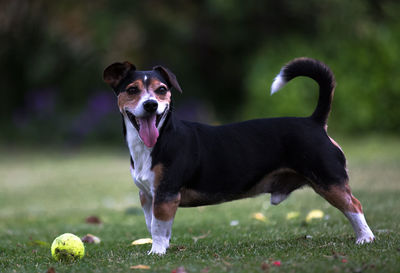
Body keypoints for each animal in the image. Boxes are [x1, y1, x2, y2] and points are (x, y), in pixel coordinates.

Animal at [102, 56, 376, 254]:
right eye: (132, 90)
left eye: (161, 90)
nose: (150, 105)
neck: (155, 141)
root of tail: (315, 122)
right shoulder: (148, 196)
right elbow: (153, 225)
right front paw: (161, 247)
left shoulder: (166, 194)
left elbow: (159, 227)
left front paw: (157, 253)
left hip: (329, 180)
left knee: (355, 205)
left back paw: (365, 238)